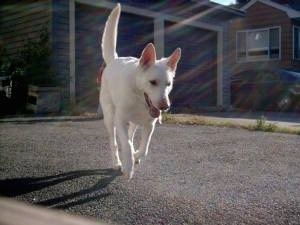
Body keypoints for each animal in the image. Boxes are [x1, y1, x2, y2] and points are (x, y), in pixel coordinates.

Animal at [101, 3, 180, 178]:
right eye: (152, 82)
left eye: (169, 84)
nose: (165, 107)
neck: (138, 98)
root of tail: (114, 60)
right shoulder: (120, 120)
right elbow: (126, 143)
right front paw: (128, 166)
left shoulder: (150, 125)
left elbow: (144, 148)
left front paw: (136, 155)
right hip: (109, 117)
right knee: (114, 142)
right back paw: (118, 162)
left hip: (135, 122)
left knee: (131, 134)